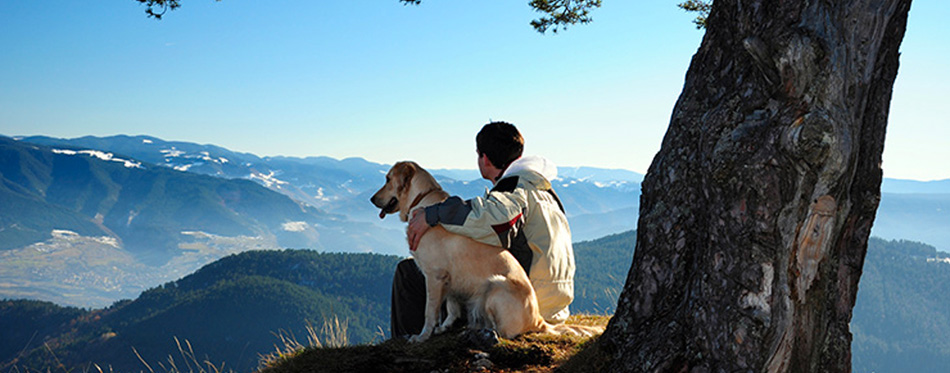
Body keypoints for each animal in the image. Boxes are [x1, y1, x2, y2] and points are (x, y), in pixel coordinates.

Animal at [372, 161, 604, 342]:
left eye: (387, 179)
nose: (372, 199)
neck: (420, 199)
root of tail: (539, 319)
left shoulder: (435, 276)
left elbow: (429, 312)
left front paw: (422, 336)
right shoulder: (450, 279)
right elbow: (452, 307)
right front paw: (444, 327)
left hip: (496, 286)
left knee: (507, 332)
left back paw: (485, 332)